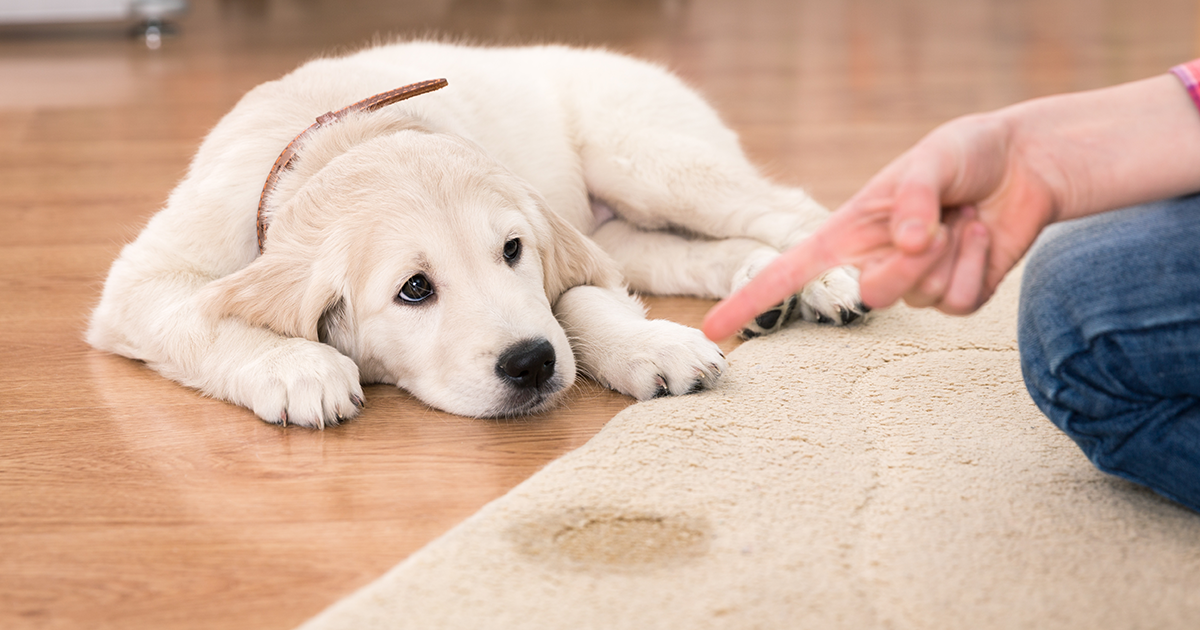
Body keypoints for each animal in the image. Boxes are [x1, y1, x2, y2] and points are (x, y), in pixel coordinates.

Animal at [91, 40, 864, 427]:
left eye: (512, 251)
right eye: (414, 289)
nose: (532, 365)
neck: (339, 137)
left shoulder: (562, 246)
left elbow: (579, 302)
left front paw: (649, 345)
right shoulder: (141, 282)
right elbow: (198, 316)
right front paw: (296, 367)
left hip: (647, 157)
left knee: (785, 207)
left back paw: (827, 280)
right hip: (626, 222)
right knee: (690, 251)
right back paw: (762, 287)